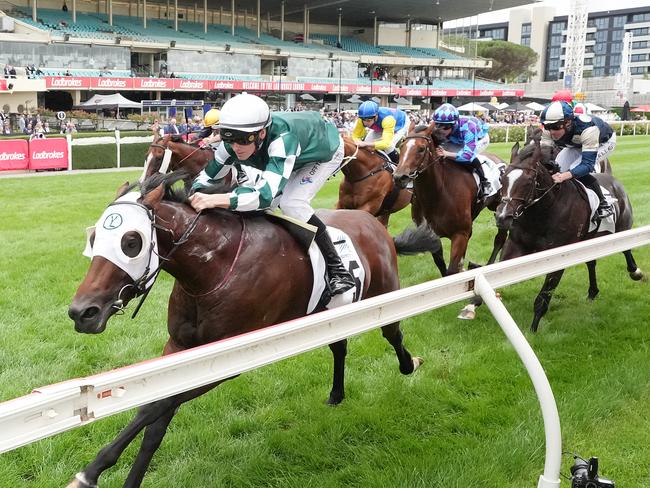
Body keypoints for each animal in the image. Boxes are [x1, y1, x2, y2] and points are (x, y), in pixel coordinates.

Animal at [68, 172, 428, 488]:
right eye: (94, 238)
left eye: (131, 242)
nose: (82, 312)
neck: (215, 267)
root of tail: (376, 225)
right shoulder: (179, 347)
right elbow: (155, 421)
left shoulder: (229, 358)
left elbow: (156, 405)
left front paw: (90, 472)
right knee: (339, 346)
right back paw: (337, 394)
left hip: (384, 294)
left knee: (393, 334)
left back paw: (410, 364)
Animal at [390, 122, 506, 278]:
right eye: (402, 146)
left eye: (421, 149)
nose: (399, 177)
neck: (438, 194)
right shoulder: (430, 235)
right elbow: (442, 266)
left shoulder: (460, 234)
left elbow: (451, 270)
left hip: (500, 207)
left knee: (500, 238)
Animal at [496, 139, 636, 334]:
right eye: (502, 179)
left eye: (529, 181)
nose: (502, 217)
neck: (544, 211)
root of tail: (615, 182)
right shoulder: (515, 245)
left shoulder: (559, 254)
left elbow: (543, 297)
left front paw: (532, 330)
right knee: (591, 262)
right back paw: (593, 292)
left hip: (622, 229)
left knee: (626, 250)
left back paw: (635, 272)